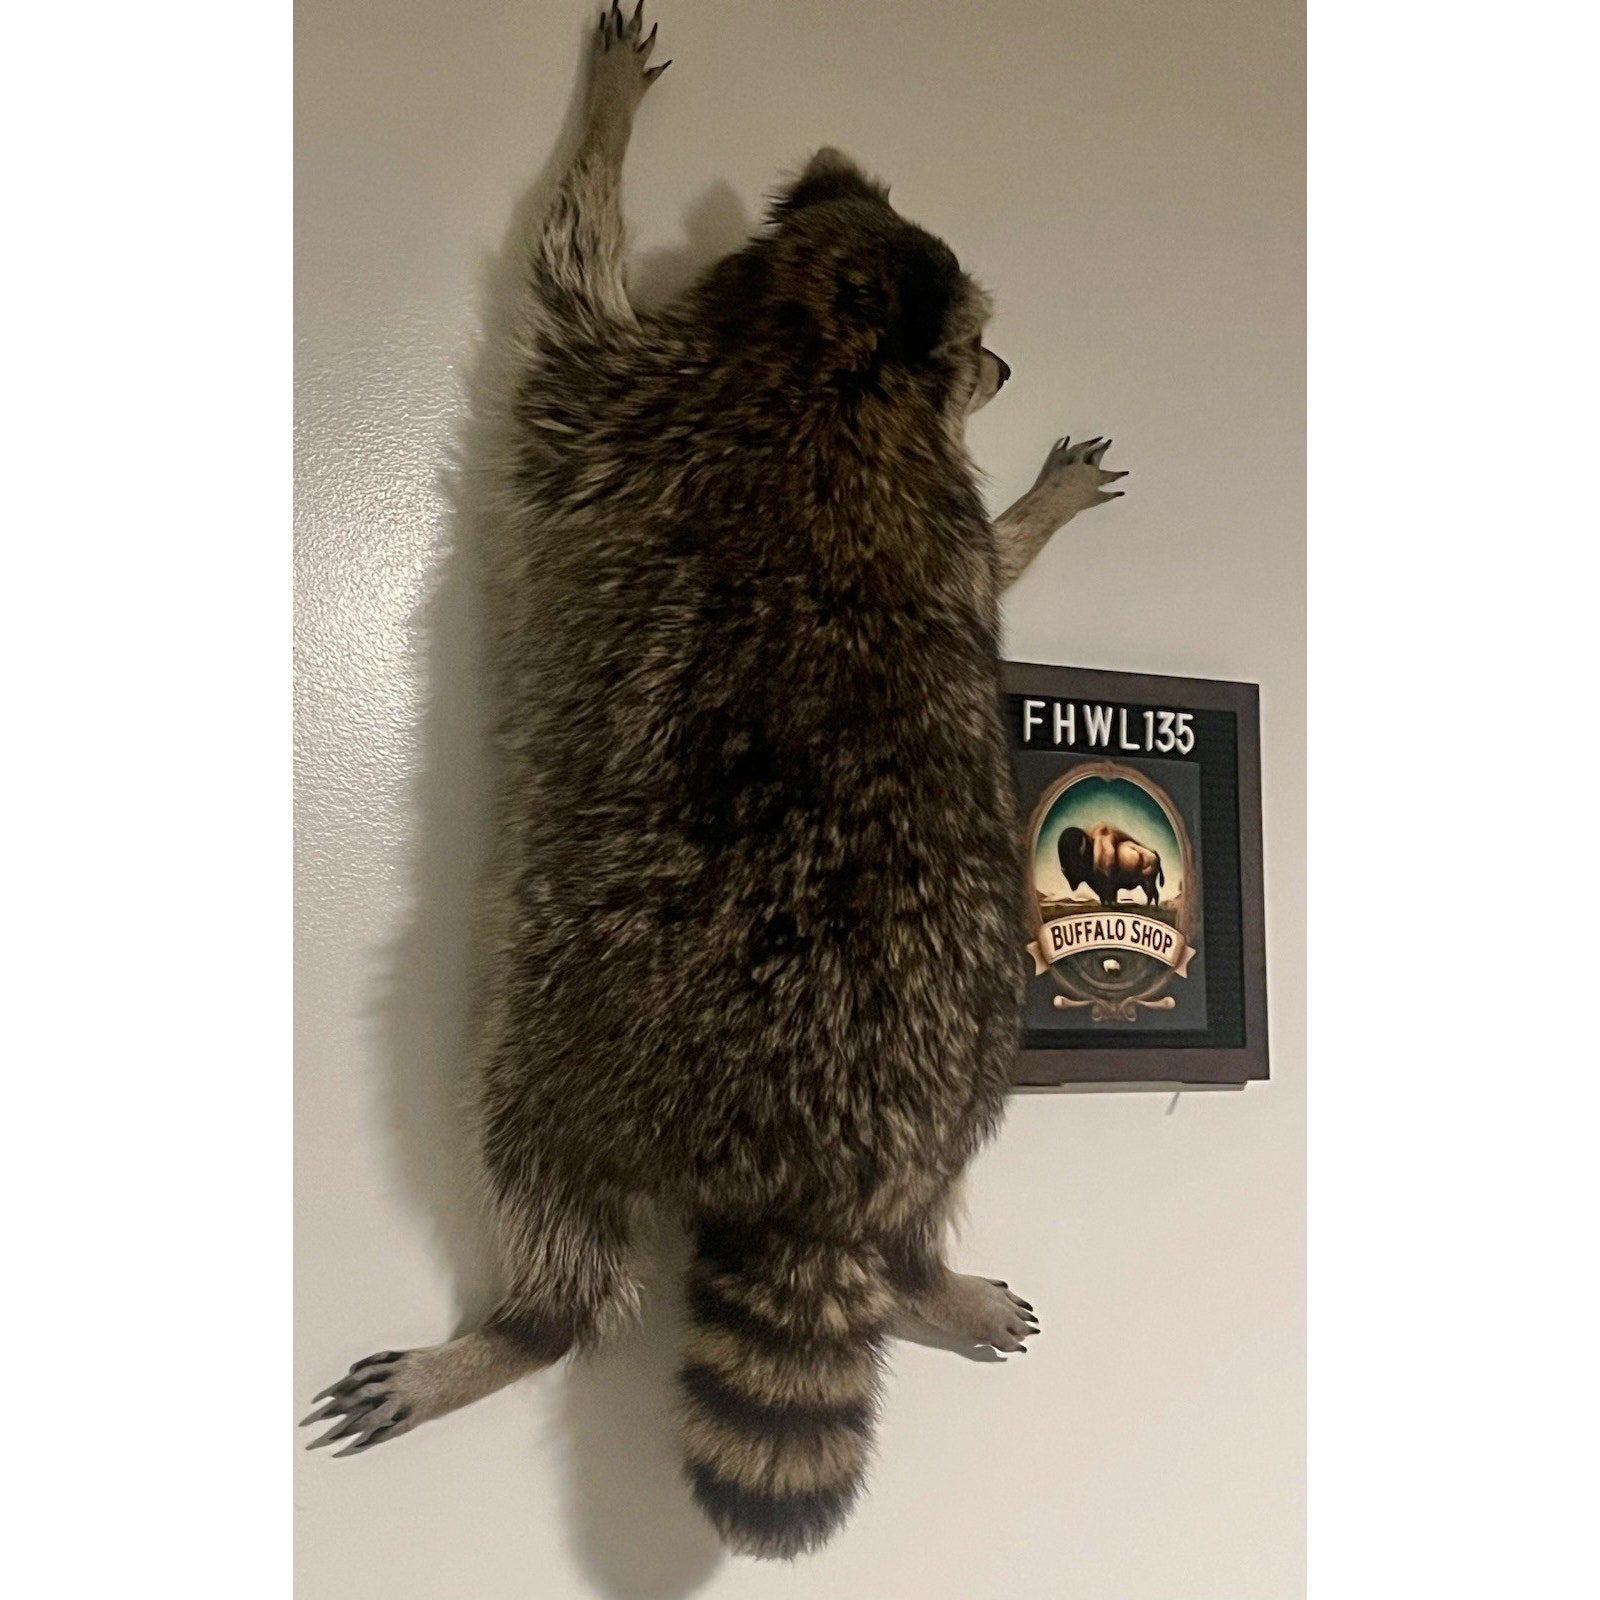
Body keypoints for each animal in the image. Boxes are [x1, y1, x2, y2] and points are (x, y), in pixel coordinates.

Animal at [304, 2, 1125, 1560]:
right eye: (979, 345)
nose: (1001, 373)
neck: (825, 348)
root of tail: (815, 1175)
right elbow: (982, 570)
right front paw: (1030, 509)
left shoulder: (621, 397)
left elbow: (567, 257)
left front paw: (605, 130)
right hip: (969, 1074)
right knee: (918, 1199)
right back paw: (919, 1270)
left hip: (577, 1035)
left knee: (542, 1185)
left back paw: (515, 1328)